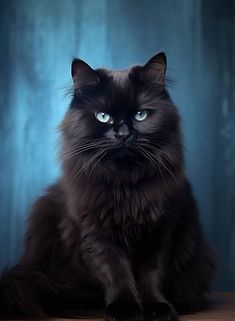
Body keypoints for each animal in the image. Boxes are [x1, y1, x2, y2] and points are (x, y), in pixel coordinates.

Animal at [0, 51, 216, 318]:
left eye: (140, 115)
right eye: (103, 117)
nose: (123, 134)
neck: (125, 183)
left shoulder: (160, 231)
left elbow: (151, 274)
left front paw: (156, 307)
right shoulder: (96, 233)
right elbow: (116, 273)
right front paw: (124, 308)